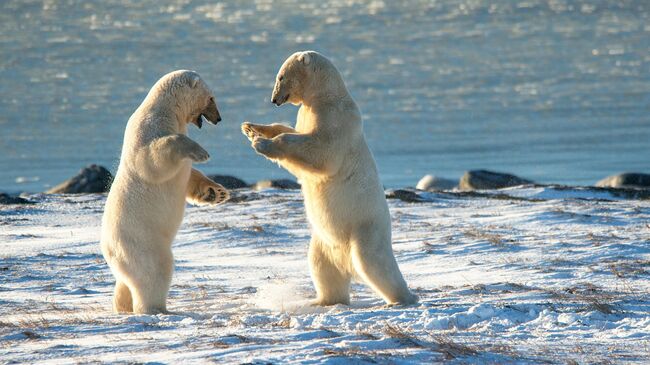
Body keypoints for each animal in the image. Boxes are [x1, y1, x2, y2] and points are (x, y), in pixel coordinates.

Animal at [100, 70, 229, 312]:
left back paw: (123, 307)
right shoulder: (148, 129)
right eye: (211, 98)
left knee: (125, 283)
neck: (166, 109)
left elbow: (189, 176)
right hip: (141, 242)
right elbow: (152, 158)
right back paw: (156, 308)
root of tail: (109, 251)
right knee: (154, 271)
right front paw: (202, 152)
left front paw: (216, 193)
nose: (218, 118)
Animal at [242, 51, 416, 306]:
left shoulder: (335, 117)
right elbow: (295, 139)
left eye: (281, 76)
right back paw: (323, 300)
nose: (274, 99)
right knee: (321, 266)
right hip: (324, 242)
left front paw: (262, 143)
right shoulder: (308, 113)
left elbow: (321, 151)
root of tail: (346, 261)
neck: (326, 95)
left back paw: (403, 297)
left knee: (375, 263)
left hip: (365, 228)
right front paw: (252, 128)